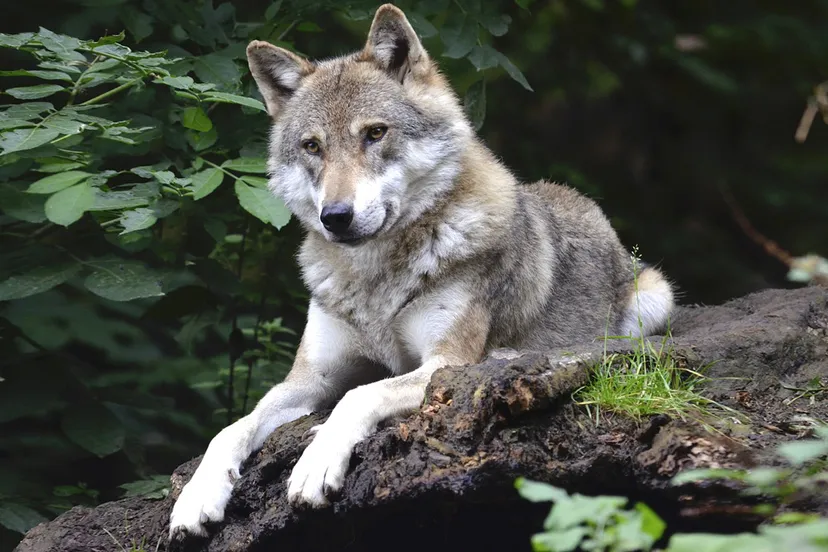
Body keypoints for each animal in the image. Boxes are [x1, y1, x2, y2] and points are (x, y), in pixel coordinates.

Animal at [169, 3, 675, 539]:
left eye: (375, 133)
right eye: (312, 147)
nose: (335, 216)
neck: (375, 280)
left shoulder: (443, 363)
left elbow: (359, 396)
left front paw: (315, 463)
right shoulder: (309, 379)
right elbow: (232, 428)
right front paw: (197, 496)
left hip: (653, 299)